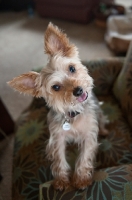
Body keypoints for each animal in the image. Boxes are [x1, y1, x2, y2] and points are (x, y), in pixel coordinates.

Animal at [8, 23, 107, 191]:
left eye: (72, 68)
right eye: (56, 87)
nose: (78, 90)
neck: (72, 113)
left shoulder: (89, 135)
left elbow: (84, 156)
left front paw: (81, 180)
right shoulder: (57, 138)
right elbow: (59, 159)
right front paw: (61, 181)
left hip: (98, 112)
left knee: (102, 119)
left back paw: (105, 130)